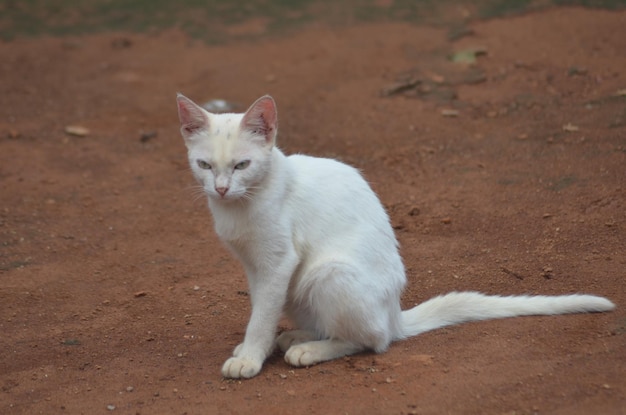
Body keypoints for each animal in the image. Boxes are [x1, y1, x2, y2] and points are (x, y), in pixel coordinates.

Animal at [176, 93, 616, 380]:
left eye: (242, 165)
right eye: (204, 165)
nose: (220, 189)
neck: (240, 207)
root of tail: (395, 314)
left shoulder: (278, 262)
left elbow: (262, 315)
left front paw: (251, 357)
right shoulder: (255, 267)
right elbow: (260, 309)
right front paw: (258, 347)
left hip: (327, 272)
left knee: (373, 340)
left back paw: (310, 349)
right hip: (302, 289)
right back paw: (298, 335)